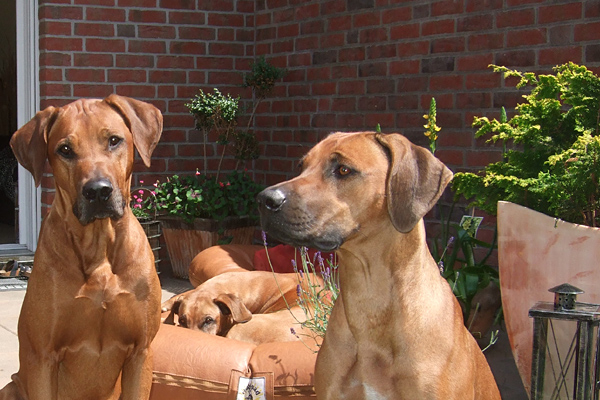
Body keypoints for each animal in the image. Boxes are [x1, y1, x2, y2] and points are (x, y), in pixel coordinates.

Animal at [0, 95, 163, 400]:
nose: (98, 191)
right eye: (65, 149)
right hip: (11, 388)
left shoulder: (142, 351)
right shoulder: (43, 356)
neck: (99, 248)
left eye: (114, 140)